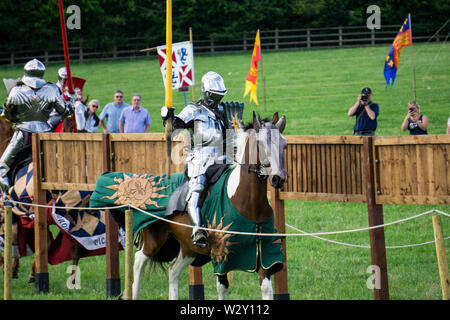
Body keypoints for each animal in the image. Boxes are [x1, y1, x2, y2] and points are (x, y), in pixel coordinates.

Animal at [133, 112, 288, 300]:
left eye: (284, 145)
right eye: (261, 143)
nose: (278, 178)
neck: (249, 204)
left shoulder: (263, 254)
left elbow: (266, 288)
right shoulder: (221, 253)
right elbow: (222, 287)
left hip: (188, 248)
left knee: (173, 271)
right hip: (153, 241)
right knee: (138, 262)